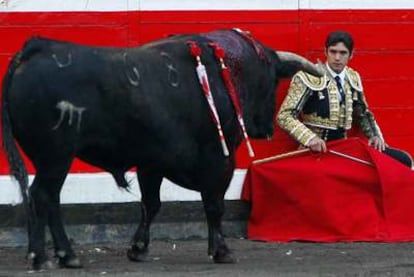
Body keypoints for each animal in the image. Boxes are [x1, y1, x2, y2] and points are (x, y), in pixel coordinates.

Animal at [0, 29, 324, 268]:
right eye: (272, 80)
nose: (266, 128)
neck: (225, 71)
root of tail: (36, 47)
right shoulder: (220, 159)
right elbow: (214, 204)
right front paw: (221, 250)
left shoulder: (151, 163)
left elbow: (150, 203)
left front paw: (138, 248)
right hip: (56, 155)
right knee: (44, 195)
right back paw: (56, 256)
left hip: (52, 159)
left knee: (45, 197)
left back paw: (50, 255)